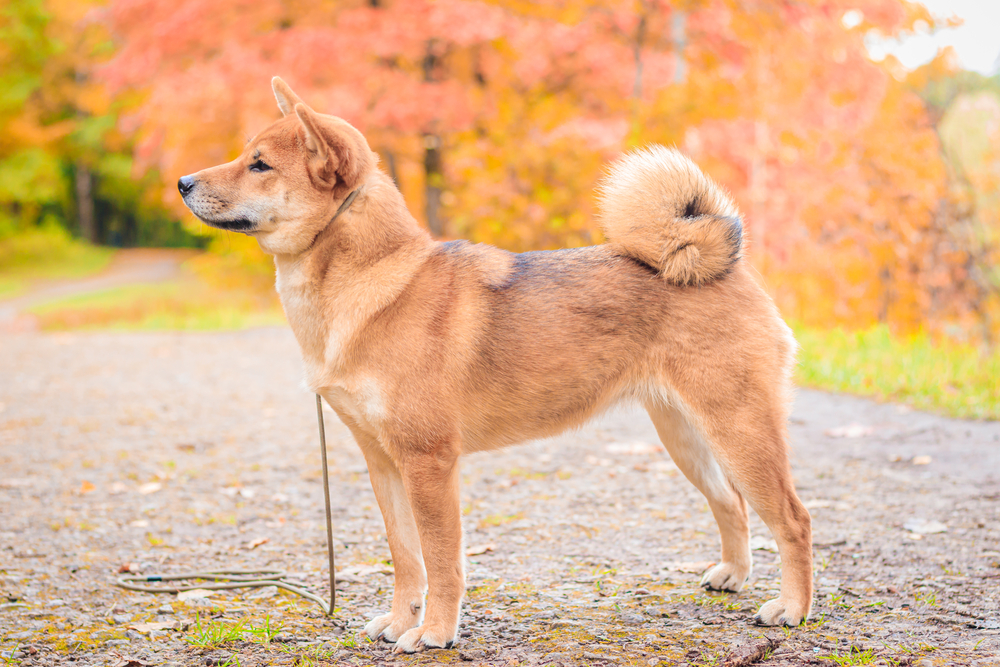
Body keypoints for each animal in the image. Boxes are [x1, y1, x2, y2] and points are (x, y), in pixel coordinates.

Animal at [180, 77, 816, 652]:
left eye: (260, 165)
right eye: (246, 155)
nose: (183, 182)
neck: (372, 282)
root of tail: (722, 265)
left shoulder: (429, 463)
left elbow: (441, 562)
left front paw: (433, 633)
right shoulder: (382, 462)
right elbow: (406, 558)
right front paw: (400, 621)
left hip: (739, 431)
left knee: (792, 519)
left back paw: (792, 609)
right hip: (685, 436)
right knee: (731, 503)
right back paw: (733, 576)